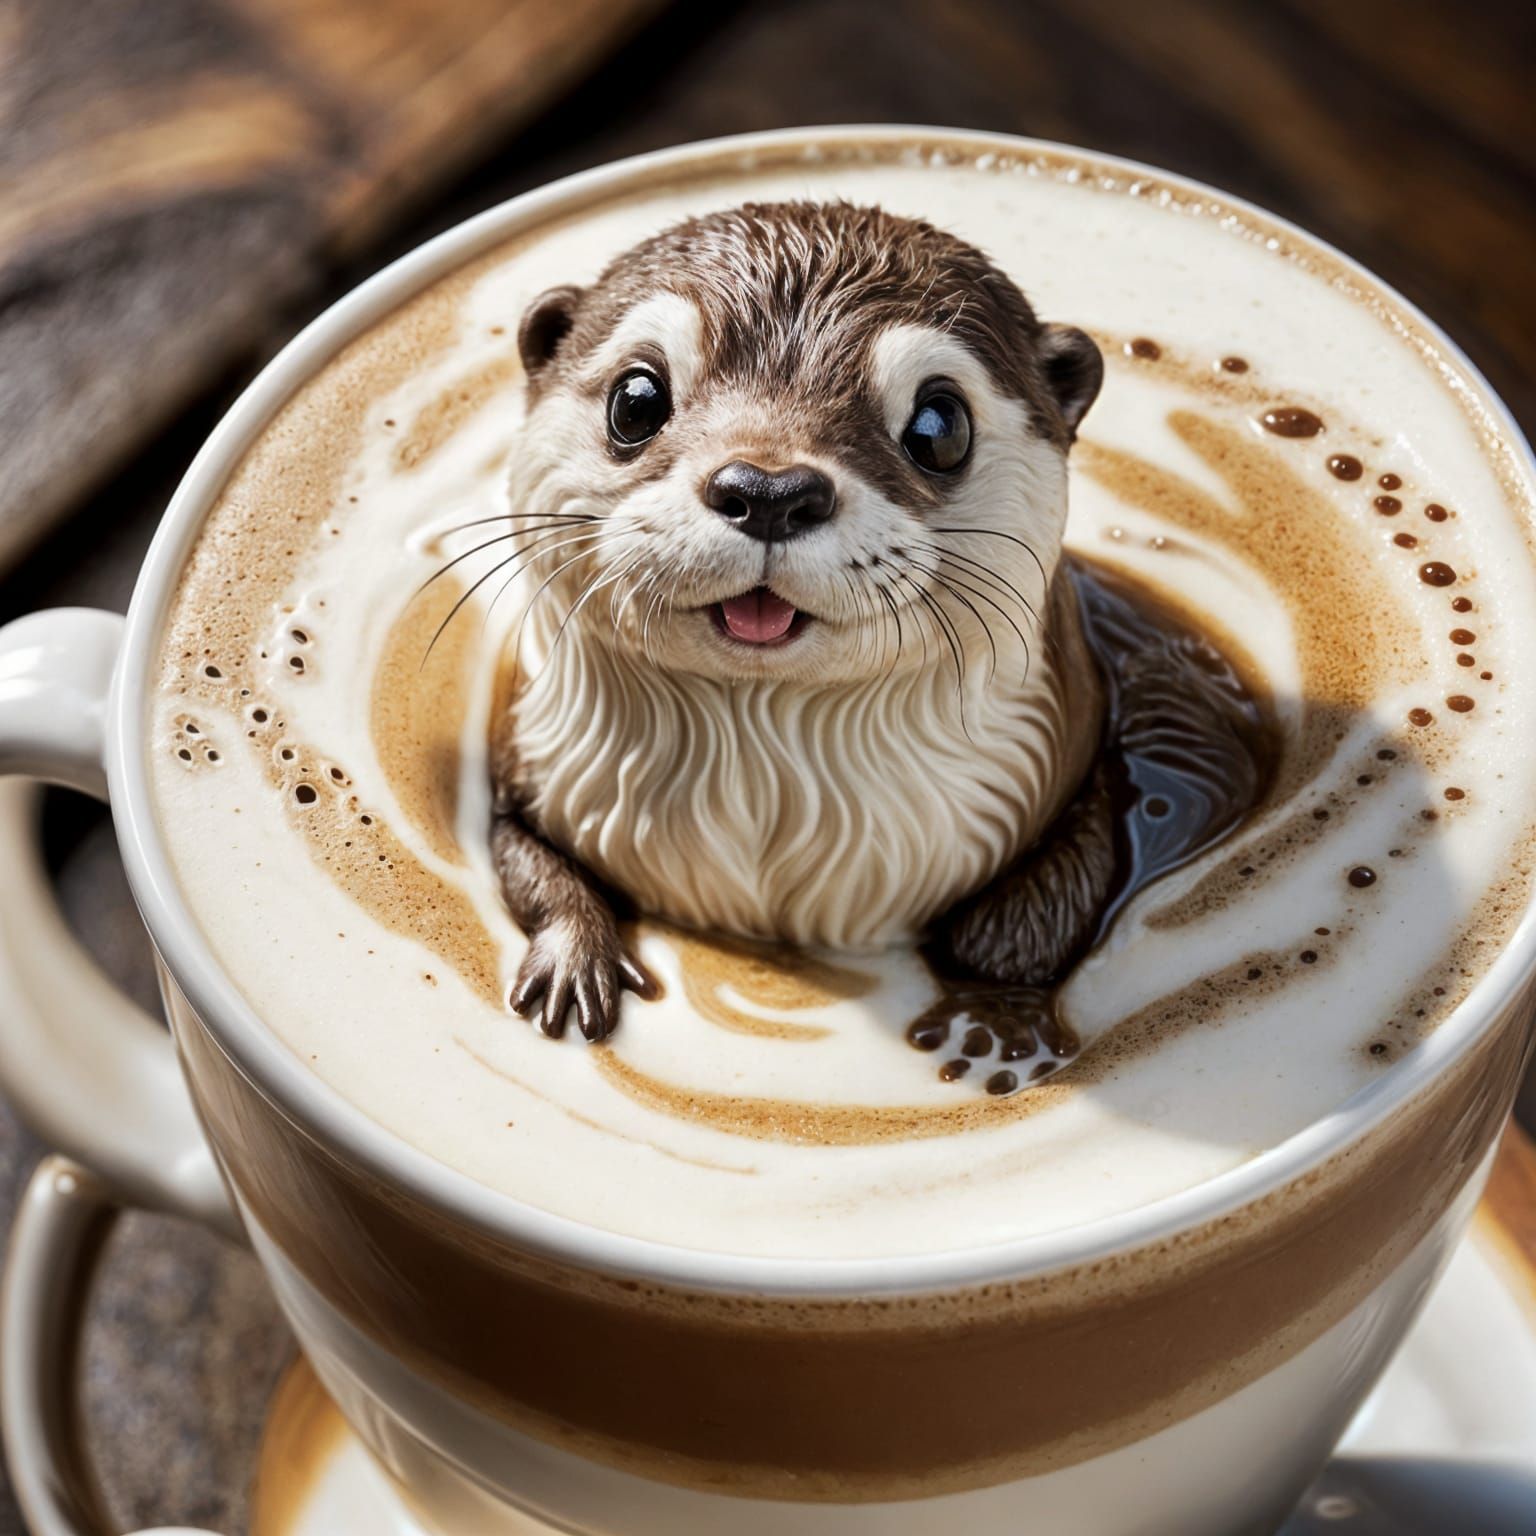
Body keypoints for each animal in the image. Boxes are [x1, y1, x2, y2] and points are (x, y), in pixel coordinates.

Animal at [490, 201, 1113, 1041]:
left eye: (940, 425)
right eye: (636, 401)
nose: (769, 489)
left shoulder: (1076, 776)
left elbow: (1036, 914)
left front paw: (995, 1019)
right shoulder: (527, 764)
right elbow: (530, 858)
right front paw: (573, 958)